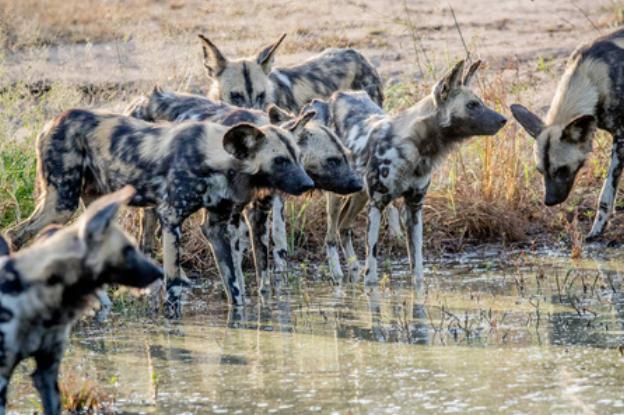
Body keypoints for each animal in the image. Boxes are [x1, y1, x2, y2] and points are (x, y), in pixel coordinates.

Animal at [5, 107, 314, 316]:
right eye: (280, 160)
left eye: (299, 157)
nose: (308, 183)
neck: (215, 159)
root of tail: (53, 120)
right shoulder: (171, 220)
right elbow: (174, 286)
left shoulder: (216, 228)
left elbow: (234, 288)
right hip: (61, 204)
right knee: (14, 234)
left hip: (92, 205)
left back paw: (102, 306)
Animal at [125, 89, 360, 292]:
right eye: (332, 160)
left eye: (347, 156)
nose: (359, 184)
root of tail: (139, 101)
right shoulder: (231, 220)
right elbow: (236, 273)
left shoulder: (260, 215)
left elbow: (266, 268)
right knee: (147, 242)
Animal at [326, 60, 508, 284]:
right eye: (472, 104)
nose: (503, 119)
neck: (417, 147)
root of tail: (340, 94)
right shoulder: (377, 204)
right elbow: (372, 275)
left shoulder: (414, 208)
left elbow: (418, 271)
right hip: (337, 196)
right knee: (330, 236)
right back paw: (337, 275)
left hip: (360, 195)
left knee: (344, 227)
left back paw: (352, 271)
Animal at [512, 28, 624, 240]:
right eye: (540, 171)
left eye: (562, 170)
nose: (549, 201)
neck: (593, 79)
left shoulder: (621, 139)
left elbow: (606, 193)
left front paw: (598, 229)